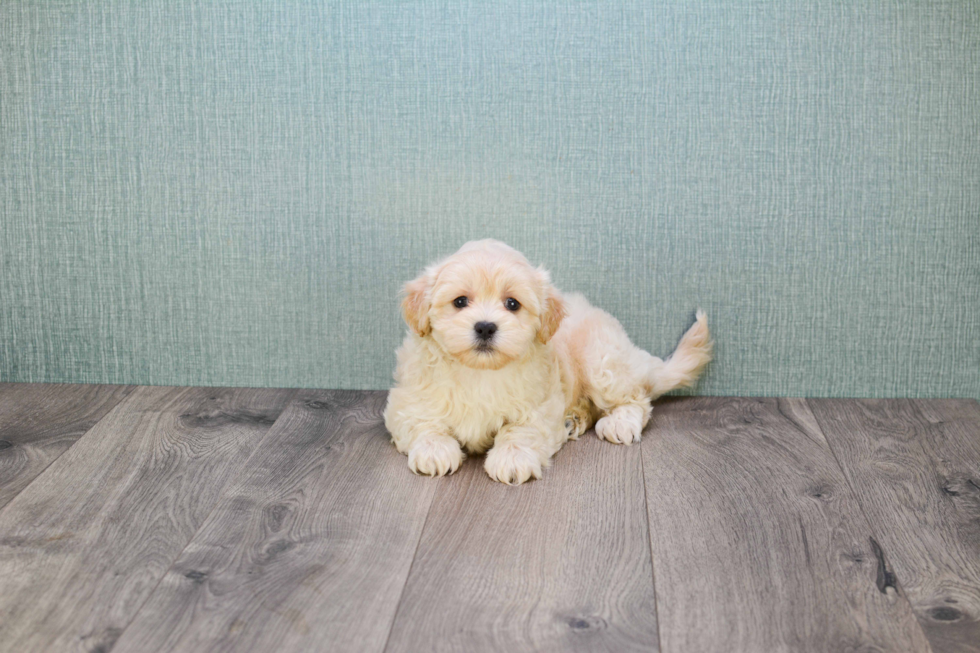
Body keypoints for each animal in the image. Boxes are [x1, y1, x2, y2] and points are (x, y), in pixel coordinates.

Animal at [382, 241, 712, 484]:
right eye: (460, 301)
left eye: (512, 304)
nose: (485, 327)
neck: (480, 372)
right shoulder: (408, 399)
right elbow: (422, 422)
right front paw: (434, 450)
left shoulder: (539, 406)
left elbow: (521, 430)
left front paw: (511, 458)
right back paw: (574, 419)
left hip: (601, 361)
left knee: (637, 398)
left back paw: (619, 422)